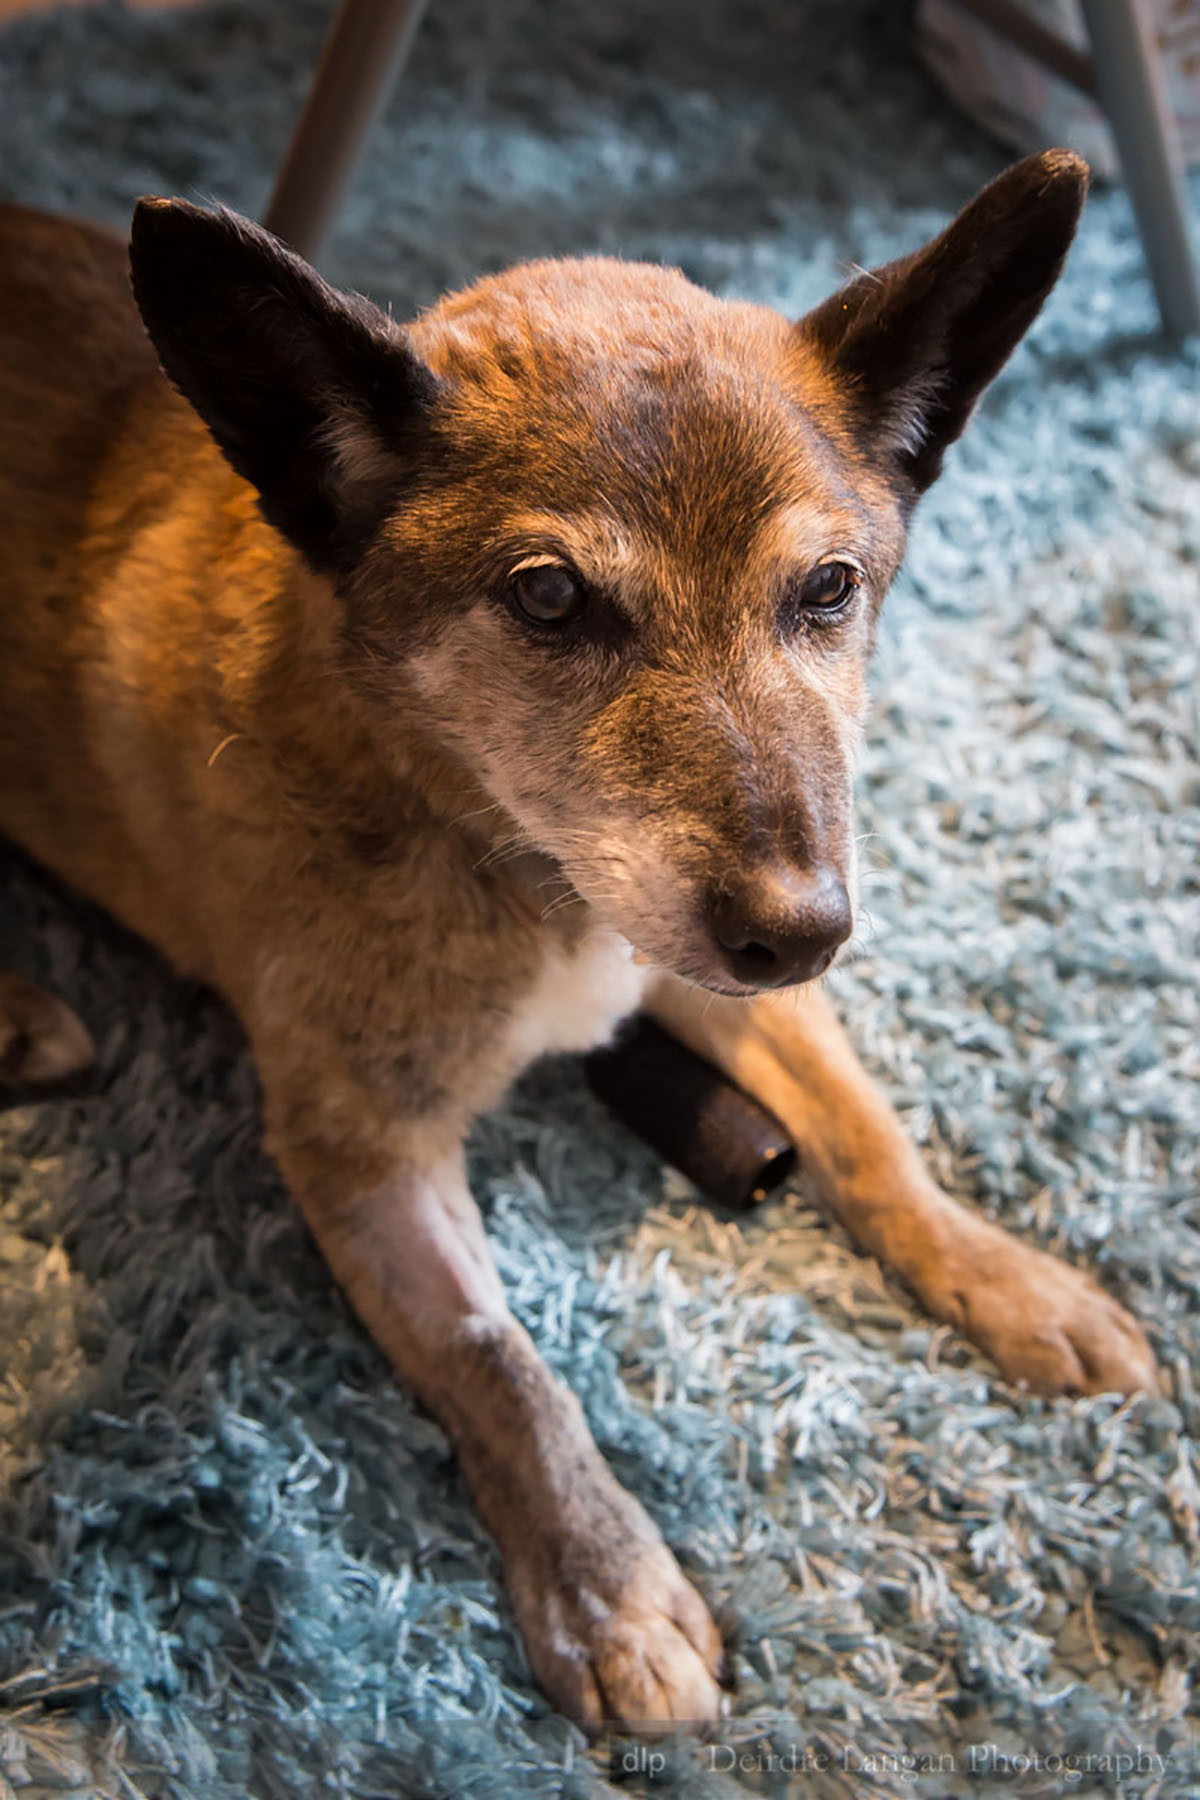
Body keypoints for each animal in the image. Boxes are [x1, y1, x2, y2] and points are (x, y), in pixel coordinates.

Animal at [0, 154, 1151, 1728]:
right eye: (549, 596)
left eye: (830, 589)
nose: (807, 934)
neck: (512, 857)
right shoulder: (362, 1146)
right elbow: (500, 1361)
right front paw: (609, 1585)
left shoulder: (717, 972)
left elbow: (871, 1138)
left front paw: (1008, 1277)